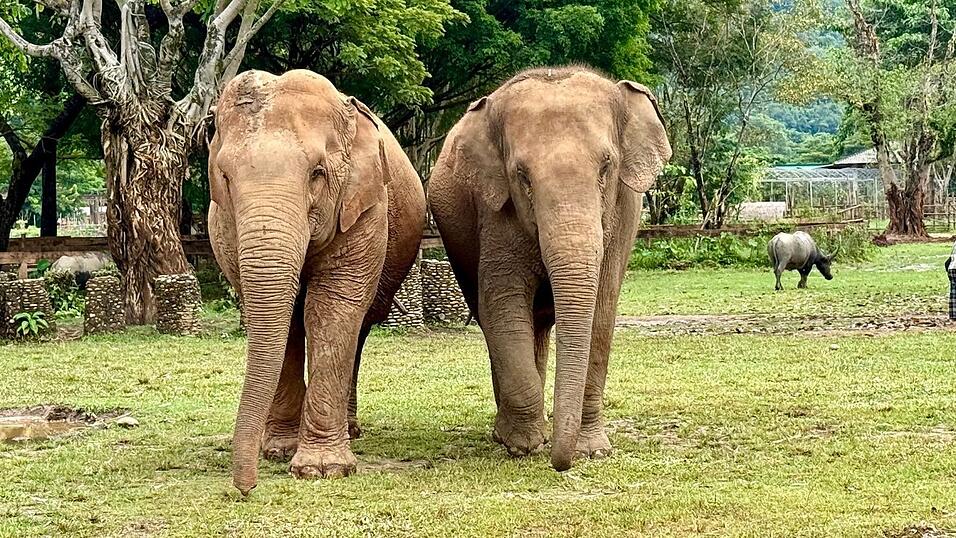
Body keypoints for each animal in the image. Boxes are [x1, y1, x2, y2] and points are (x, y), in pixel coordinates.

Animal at [207, 69, 426, 494]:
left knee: (360, 327)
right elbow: (282, 319)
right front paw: (278, 450)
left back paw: (351, 430)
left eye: (317, 173)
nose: (245, 488)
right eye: (225, 176)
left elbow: (330, 310)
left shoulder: (365, 209)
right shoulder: (225, 226)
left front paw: (323, 470)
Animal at [427, 66, 671, 471]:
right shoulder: (495, 212)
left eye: (606, 166)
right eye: (522, 176)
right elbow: (502, 306)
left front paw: (592, 450)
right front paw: (523, 446)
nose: (562, 464)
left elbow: (602, 313)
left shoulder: (624, 213)